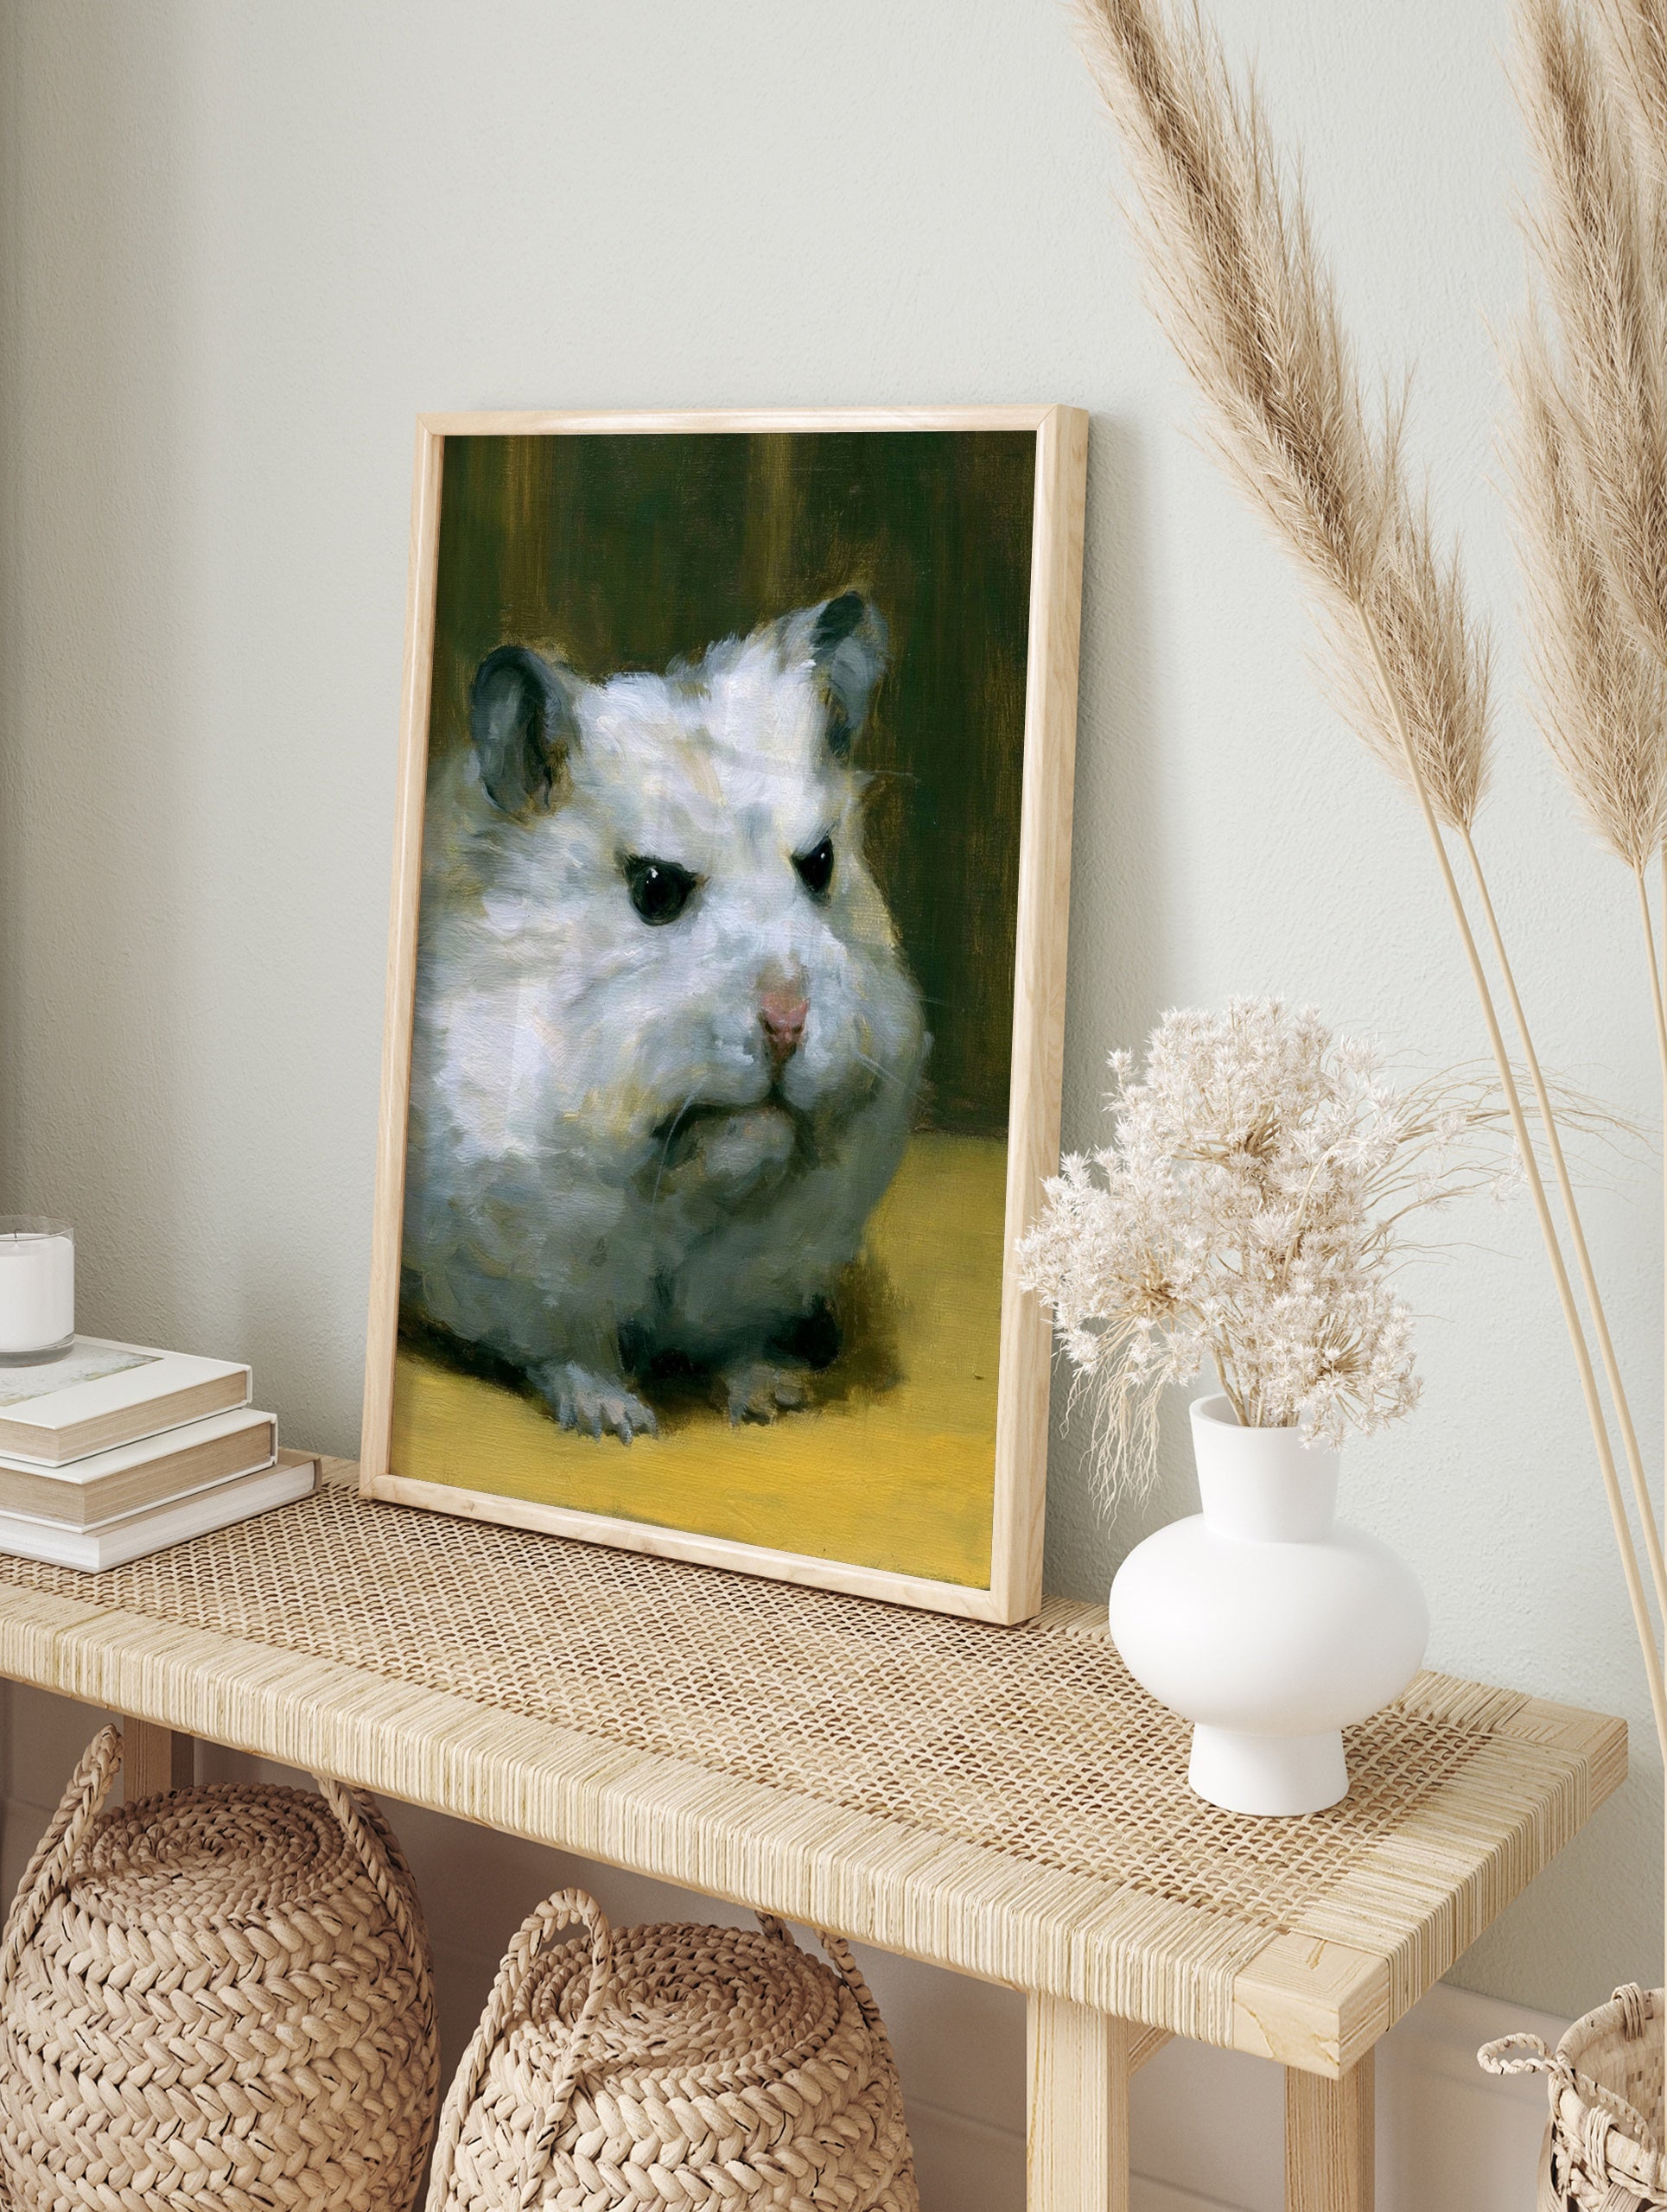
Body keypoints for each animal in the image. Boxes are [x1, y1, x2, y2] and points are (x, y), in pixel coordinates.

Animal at [401, 592, 931, 1442]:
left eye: (820, 865)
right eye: (654, 889)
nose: (787, 1023)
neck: (684, 1191)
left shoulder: (766, 1264)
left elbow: (737, 1345)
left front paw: (773, 1400)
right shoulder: (527, 1269)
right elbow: (570, 1352)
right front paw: (618, 1423)